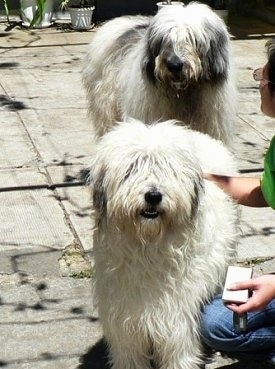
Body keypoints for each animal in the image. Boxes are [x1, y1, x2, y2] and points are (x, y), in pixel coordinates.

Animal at [90, 120, 239, 368]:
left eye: (168, 169)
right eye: (132, 169)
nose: (153, 196)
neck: (149, 246)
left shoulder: (177, 316)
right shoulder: (124, 319)